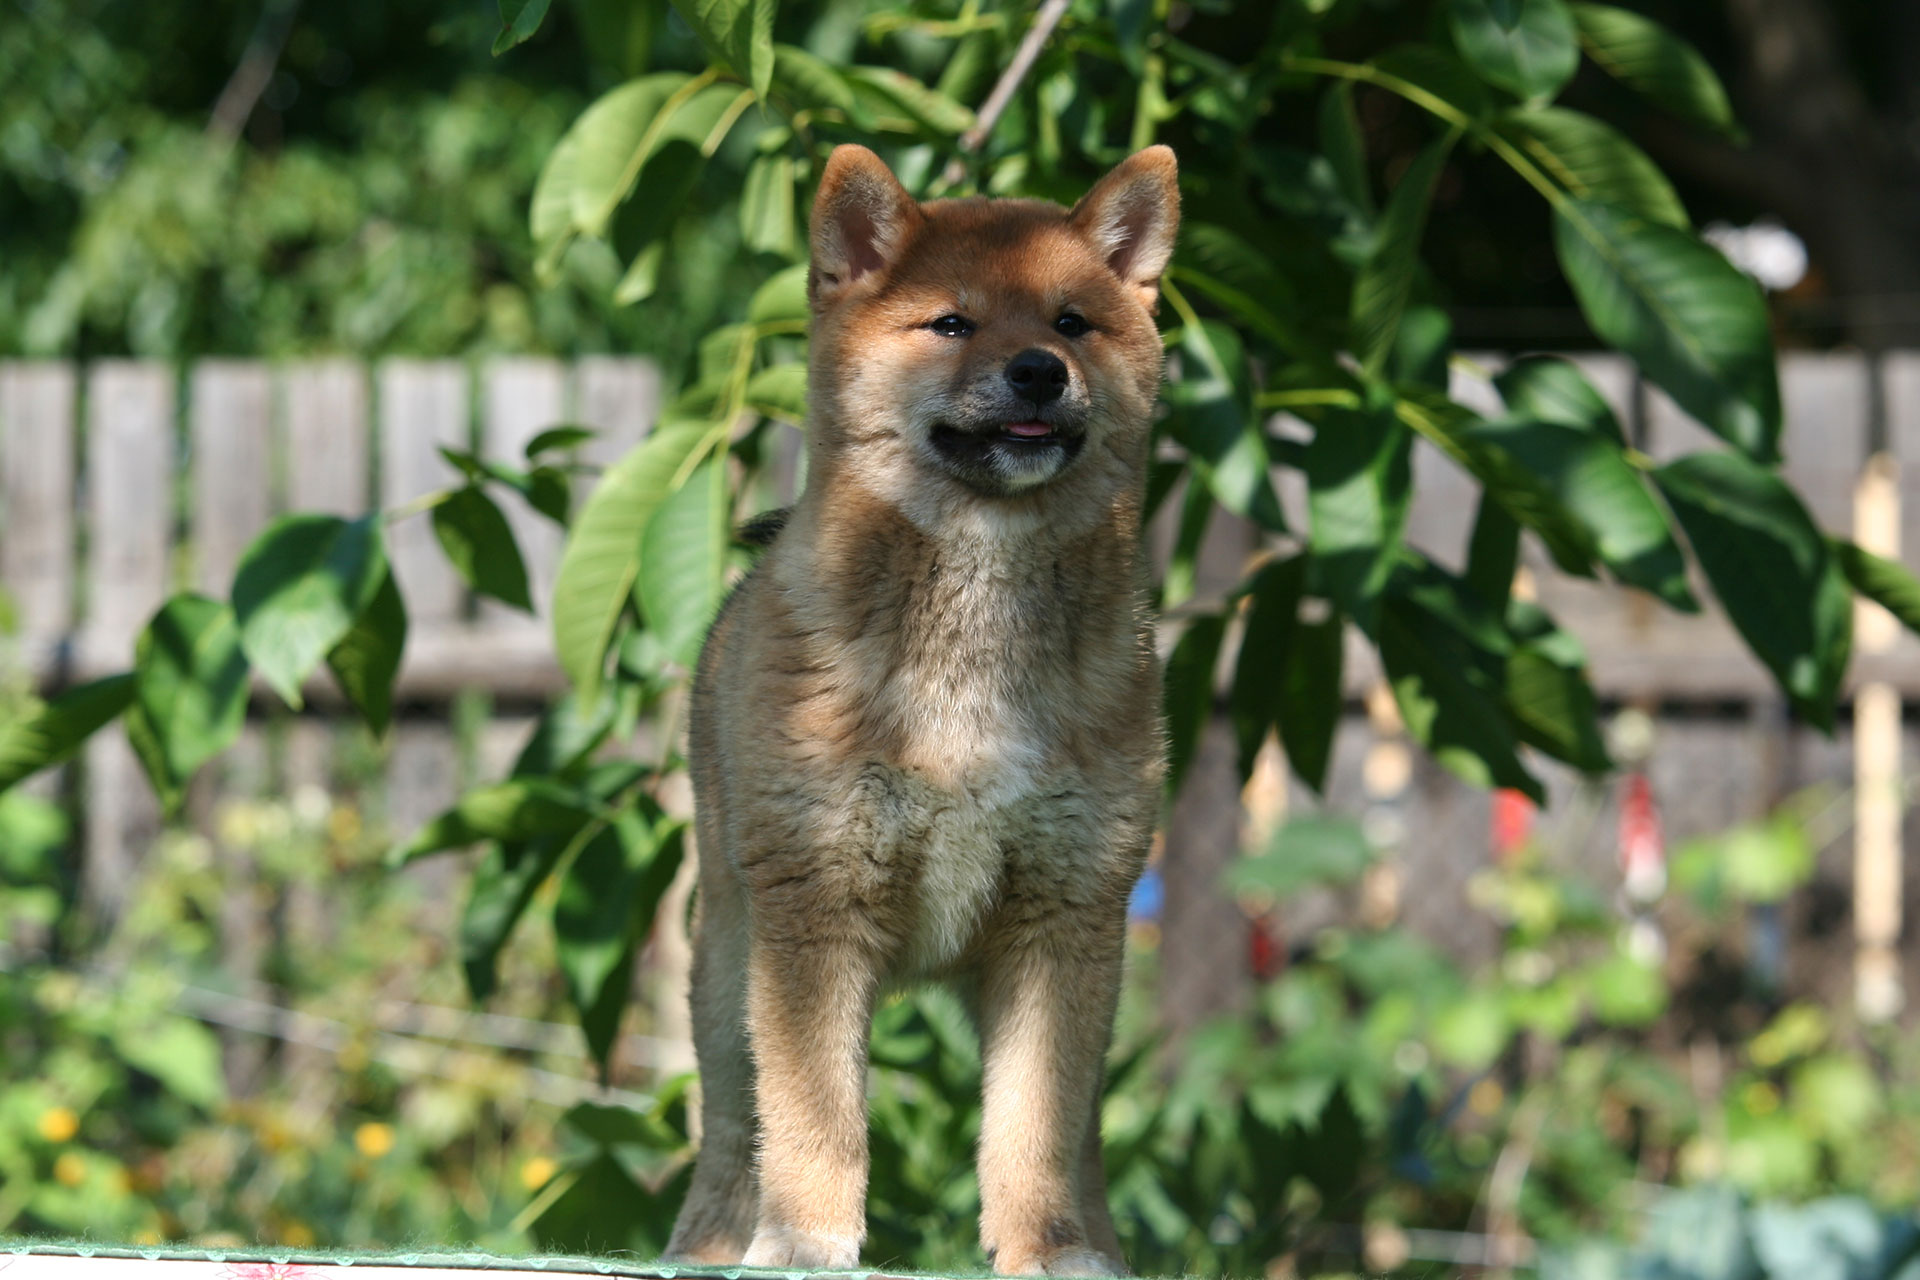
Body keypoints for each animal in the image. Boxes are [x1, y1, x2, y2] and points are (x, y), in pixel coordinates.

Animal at [664, 144, 1182, 1274]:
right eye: (951, 323)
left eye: (1072, 322)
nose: (1039, 371)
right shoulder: (815, 906)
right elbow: (813, 1114)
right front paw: (807, 1240)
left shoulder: (1063, 917)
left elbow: (1034, 1126)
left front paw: (1048, 1246)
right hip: (725, 968)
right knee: (730, 1127)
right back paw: (713, 1238)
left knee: (1083, 1139)